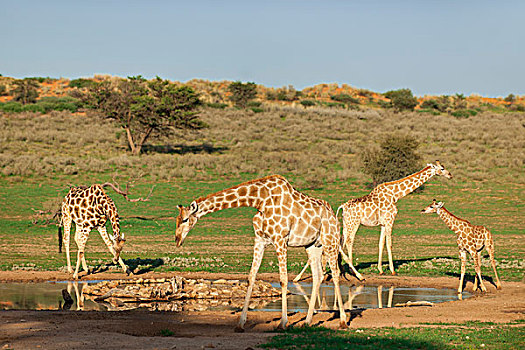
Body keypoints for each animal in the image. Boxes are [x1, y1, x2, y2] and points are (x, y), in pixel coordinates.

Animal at [176, 175, 348, 330]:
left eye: (185, 219)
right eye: (177, 220)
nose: (177, 240)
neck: (260, 201)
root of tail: (333, 215)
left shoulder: (280, 240)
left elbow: (283, 280)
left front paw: (283, 323)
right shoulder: (259, 240)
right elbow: (251, 277)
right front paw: (240, 324)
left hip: (330, 241)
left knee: (335, 274)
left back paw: (343, 321)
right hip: (312, 245)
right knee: (318, 275)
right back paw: (307, 321)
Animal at [296, 161, 452, 282]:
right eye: (442, 168)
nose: (450, 175)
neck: (396, 195)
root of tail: (342, 206)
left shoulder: (383, 223)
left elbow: (380, 243)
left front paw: (380, 269)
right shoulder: (390, 220)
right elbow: (389, 243)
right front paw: (392, 270)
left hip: (346, 223)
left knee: (340, 241)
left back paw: (337, 270)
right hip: (354, 223)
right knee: (348, 242)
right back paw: (353, 272)